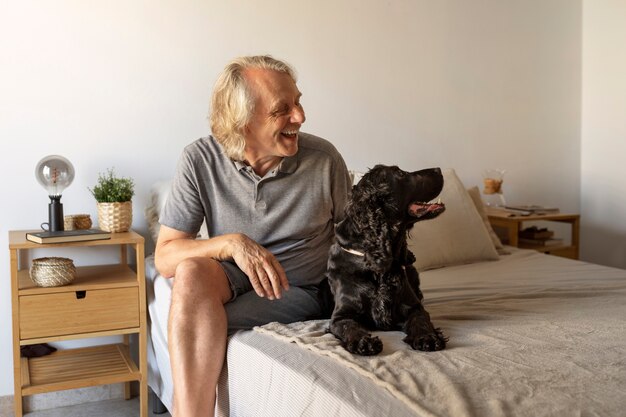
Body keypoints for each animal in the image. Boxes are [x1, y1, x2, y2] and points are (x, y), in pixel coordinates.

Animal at [320, 165, 446, 354]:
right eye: (401, 174)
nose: (439, 169)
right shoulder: (340, 316)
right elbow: (350, 327)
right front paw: (363, 341)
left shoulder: (414, 308)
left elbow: (420, 321)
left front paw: (427, 337)